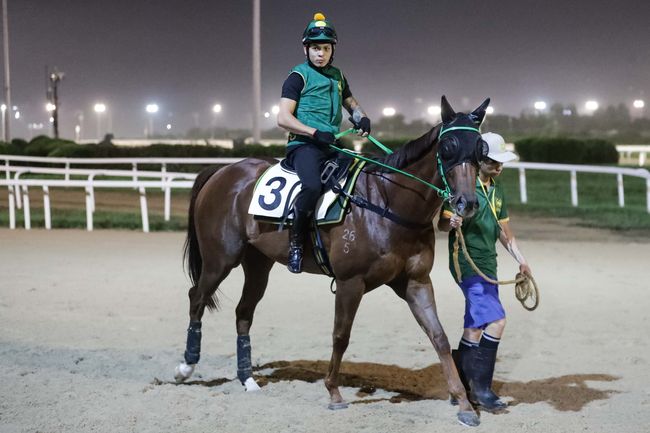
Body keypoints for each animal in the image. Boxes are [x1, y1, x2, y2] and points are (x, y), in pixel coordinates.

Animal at [175, 95, 488, 426]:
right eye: (448, 146)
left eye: (480, 147)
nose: (467, 203)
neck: (386, 202)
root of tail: (221, 171)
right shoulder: (351, 282)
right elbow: (341, 335)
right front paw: (334, 392)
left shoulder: (416, 282)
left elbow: (438, 336)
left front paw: (464, 403)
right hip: (220, 259)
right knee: (197, 297)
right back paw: (186, 367)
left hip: (258, 264)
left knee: (243, 312)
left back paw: (247, 379)